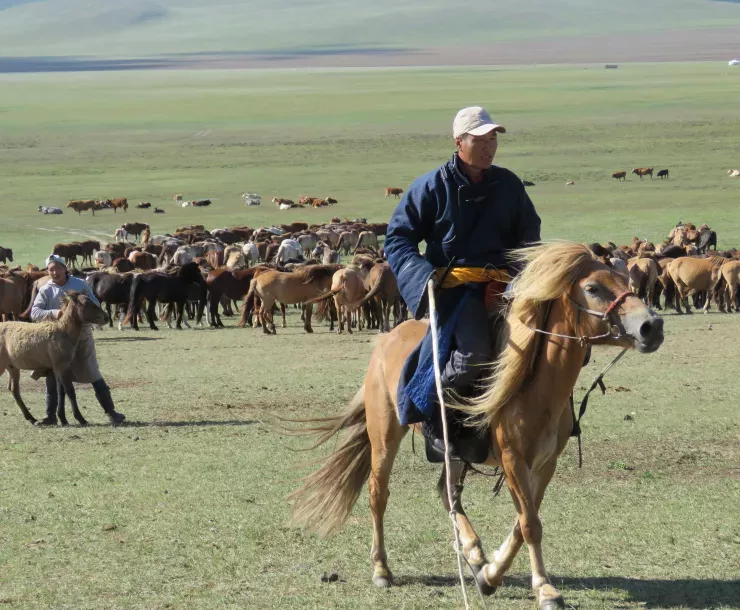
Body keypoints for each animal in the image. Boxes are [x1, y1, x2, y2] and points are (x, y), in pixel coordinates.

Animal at [290, 242, 664, 608]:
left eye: (625, 280)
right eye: (592, 288)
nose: (652, 326)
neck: (535, 384)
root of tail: (386, 339)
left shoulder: (545, 464)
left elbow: (522, 523)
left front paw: (491, 573)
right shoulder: (513, 460)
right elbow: (530, 523)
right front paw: (544, 589)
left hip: (453, 451)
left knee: (447, 494)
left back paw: (472, 553)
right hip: (384, 435)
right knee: (378, 495)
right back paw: (382, 568)